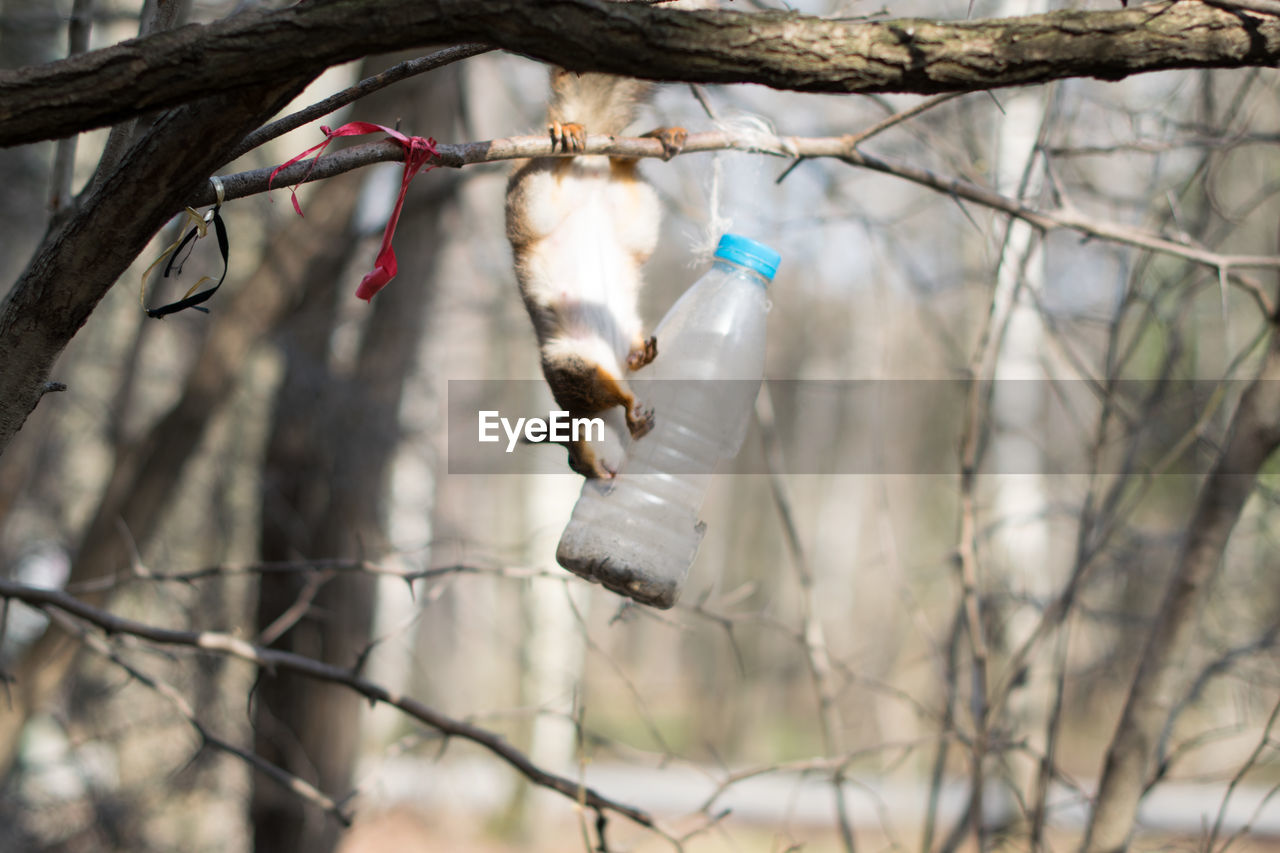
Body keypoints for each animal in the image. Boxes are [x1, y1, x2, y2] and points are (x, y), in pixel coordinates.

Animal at [506, 68, 691, 479]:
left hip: (532, 198)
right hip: (634, 212)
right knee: (621, 162)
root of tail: (588, 171)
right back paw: (653, 138)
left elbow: (615, 392)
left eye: (573, 459)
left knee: (553, 167)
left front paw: (632, 413)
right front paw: (640, 368)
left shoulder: (573, 371)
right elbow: (627, 373)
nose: (597, 476)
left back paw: (571, 132)